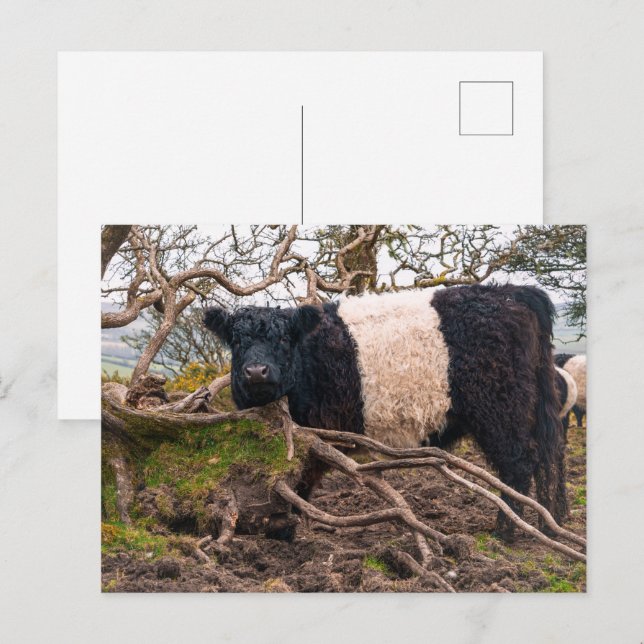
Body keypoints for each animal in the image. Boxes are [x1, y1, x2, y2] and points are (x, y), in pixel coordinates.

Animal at [204, 284, 568, 540]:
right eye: (236, 342)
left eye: (283, 340)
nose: (256, 372)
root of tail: (512, 292)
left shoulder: (313, 437)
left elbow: (297, 484)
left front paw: (283, 533)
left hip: (501, 413)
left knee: (518, 466)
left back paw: (504, 533)